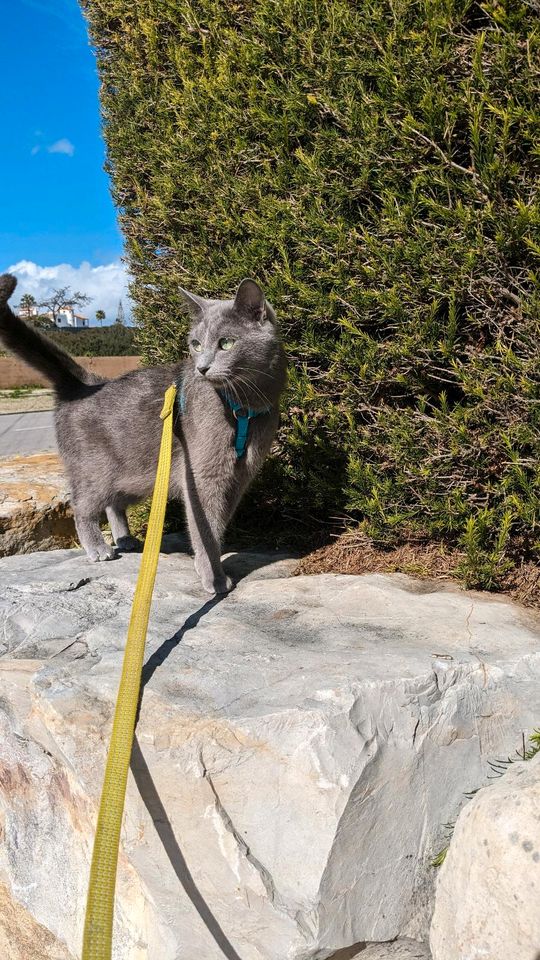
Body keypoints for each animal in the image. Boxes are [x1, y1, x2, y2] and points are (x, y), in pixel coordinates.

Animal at [0, 274, 286, 592]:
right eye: (196, 344)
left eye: (226, 343)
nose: (201, 368)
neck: (243, 408)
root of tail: (86, 383)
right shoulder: (202, 476)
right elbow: (205, 529)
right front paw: (214, 576)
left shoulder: (240, 476)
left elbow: (218, 525)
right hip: (95, 470)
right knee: (82, 505)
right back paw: (98, 547)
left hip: (137, 474)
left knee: (114, 504)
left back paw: (125, 539)